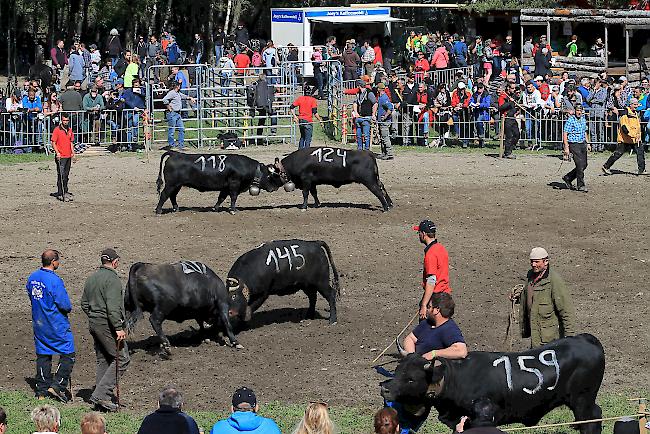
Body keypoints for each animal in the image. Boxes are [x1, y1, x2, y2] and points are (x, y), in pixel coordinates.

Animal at [156, 151, 284, 215]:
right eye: (270, 175)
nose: (275, 188)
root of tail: (174, 154)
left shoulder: (225, 187)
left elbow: (221, 198)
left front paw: (215, 208)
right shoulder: (234, 184)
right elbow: (233, 197)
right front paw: (233, 210)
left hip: (177, 185)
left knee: (172, 196)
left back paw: (176, 208)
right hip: (171, 184)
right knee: (164, 195)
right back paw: (158, 211)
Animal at [380, 334, 604, 434]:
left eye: (411, 378)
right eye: (398, 371)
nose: (385, 389)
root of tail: (586, 339)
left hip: (582, 400)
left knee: (591, 421)